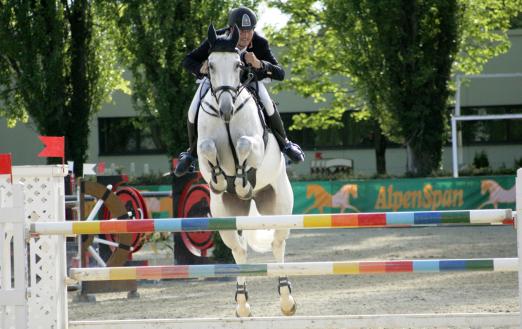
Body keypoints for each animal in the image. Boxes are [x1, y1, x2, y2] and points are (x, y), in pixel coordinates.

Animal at [195, 24, 294, 316]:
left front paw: (241, 178)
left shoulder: (256, 145)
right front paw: (220, 179)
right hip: (224, 215)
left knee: (277, 245)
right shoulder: (202, 148)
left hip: (279, 207)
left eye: (239, 65)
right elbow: (207, 148)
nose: (226, 109)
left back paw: (287, 301)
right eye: (211, 65)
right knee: (239, 250)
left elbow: (243, 145)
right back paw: (242, 303)